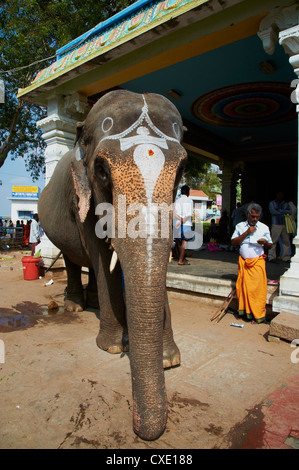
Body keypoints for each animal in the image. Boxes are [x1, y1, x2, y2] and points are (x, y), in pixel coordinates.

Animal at [37, 89, 188, 440]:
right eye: (102, 170)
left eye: (181, 170)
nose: (142, 430)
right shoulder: (81, 199)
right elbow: (101, 254)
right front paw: (111, 347)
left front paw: (169, 359)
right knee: (73, 257)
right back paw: (76, 306)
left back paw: (91, 302)